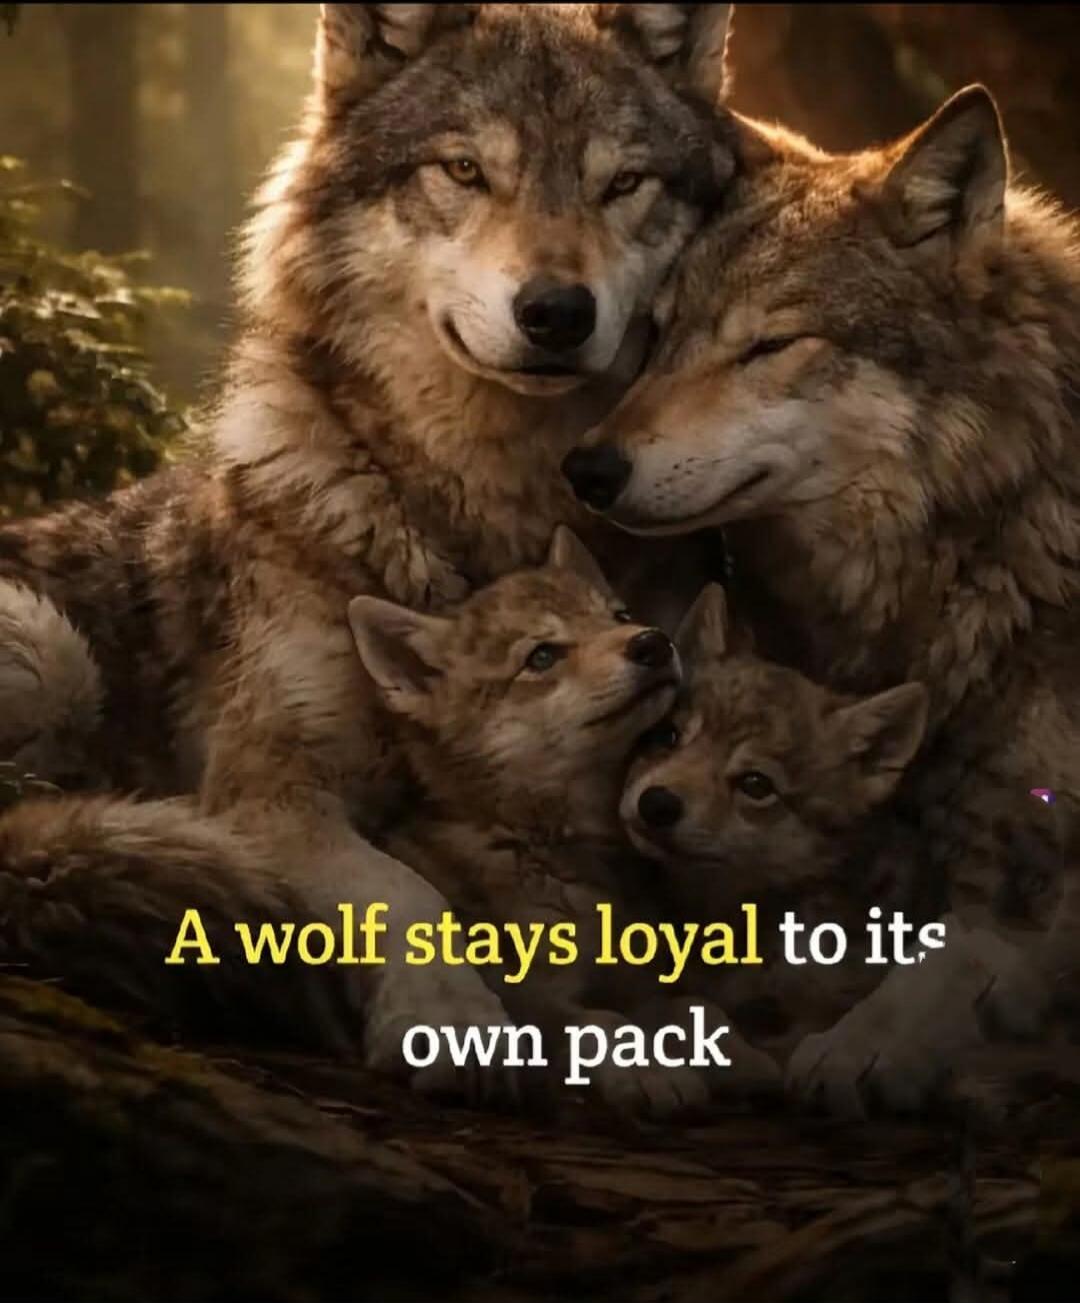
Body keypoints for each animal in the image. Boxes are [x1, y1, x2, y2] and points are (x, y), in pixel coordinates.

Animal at [0, 4, 736, 1084]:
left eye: (622, 182)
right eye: (464, 171)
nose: (557, 312)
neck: (491, 511)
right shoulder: (270, 783)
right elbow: (398, 889)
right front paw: (450, 1015)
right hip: (47, 652)